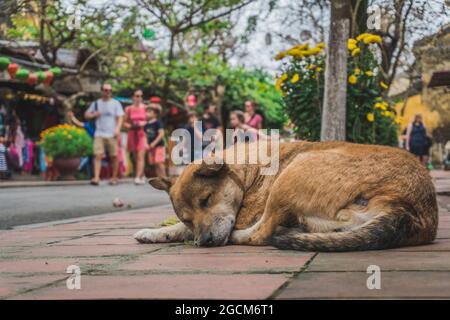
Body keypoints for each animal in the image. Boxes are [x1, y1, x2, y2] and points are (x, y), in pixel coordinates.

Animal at [135, 141, 438, 251]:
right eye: (188, 217)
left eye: (206, 200)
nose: (205, 243)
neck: (248, 171)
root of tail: (412, 210)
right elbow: (176, 228)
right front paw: (154, 232)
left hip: (293, 172)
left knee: (263, 234)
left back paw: (244, 236)